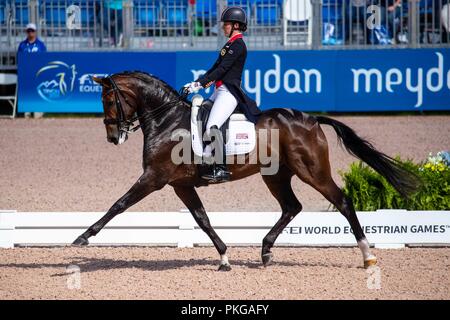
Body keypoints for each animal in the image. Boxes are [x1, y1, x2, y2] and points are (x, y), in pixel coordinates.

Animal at [72, 72, 420, 270]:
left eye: (108, 100)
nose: (113, 137)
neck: (167, 120)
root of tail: (310, 119)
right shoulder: (180, 185)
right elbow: (202, 219)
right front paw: (224, 258)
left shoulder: (154, 178)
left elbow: (118, 204)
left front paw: (82, 237)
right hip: (276, 175)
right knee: (292, 207)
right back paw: (265, 251)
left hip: (312, 172)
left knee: (343, 202)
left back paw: (367, 256)